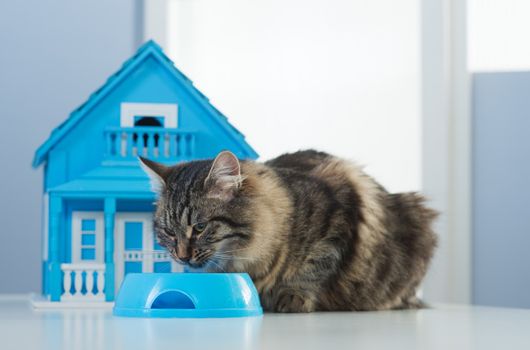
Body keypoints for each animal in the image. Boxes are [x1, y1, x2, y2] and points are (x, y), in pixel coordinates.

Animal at [138, 150, 436, 312]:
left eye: (199, 227)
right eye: (169, 232)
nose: (181, 256)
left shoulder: (338, 218)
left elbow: (315, 266)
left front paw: (293, 297)